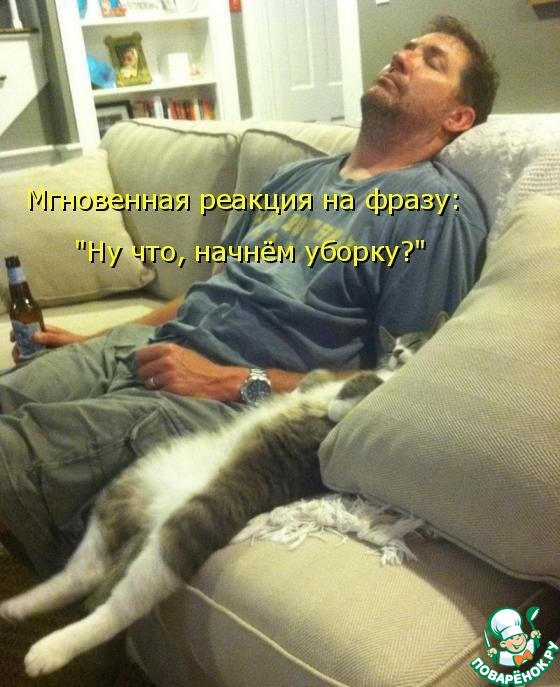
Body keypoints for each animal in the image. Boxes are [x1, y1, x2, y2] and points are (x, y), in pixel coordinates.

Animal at [0, 314, 446, 677]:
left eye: (416, 339)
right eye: (394, 343)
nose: (398, 351)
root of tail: (157, 516)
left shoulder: (369, 391)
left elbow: (358, 388)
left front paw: (338, 406)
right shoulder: (329, 376)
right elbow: (320, 375)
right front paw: (302, 391)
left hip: (191, 525)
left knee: (120, 603)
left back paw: (48, 650)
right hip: (130, 483)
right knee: (84, 570)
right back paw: (16, 607)